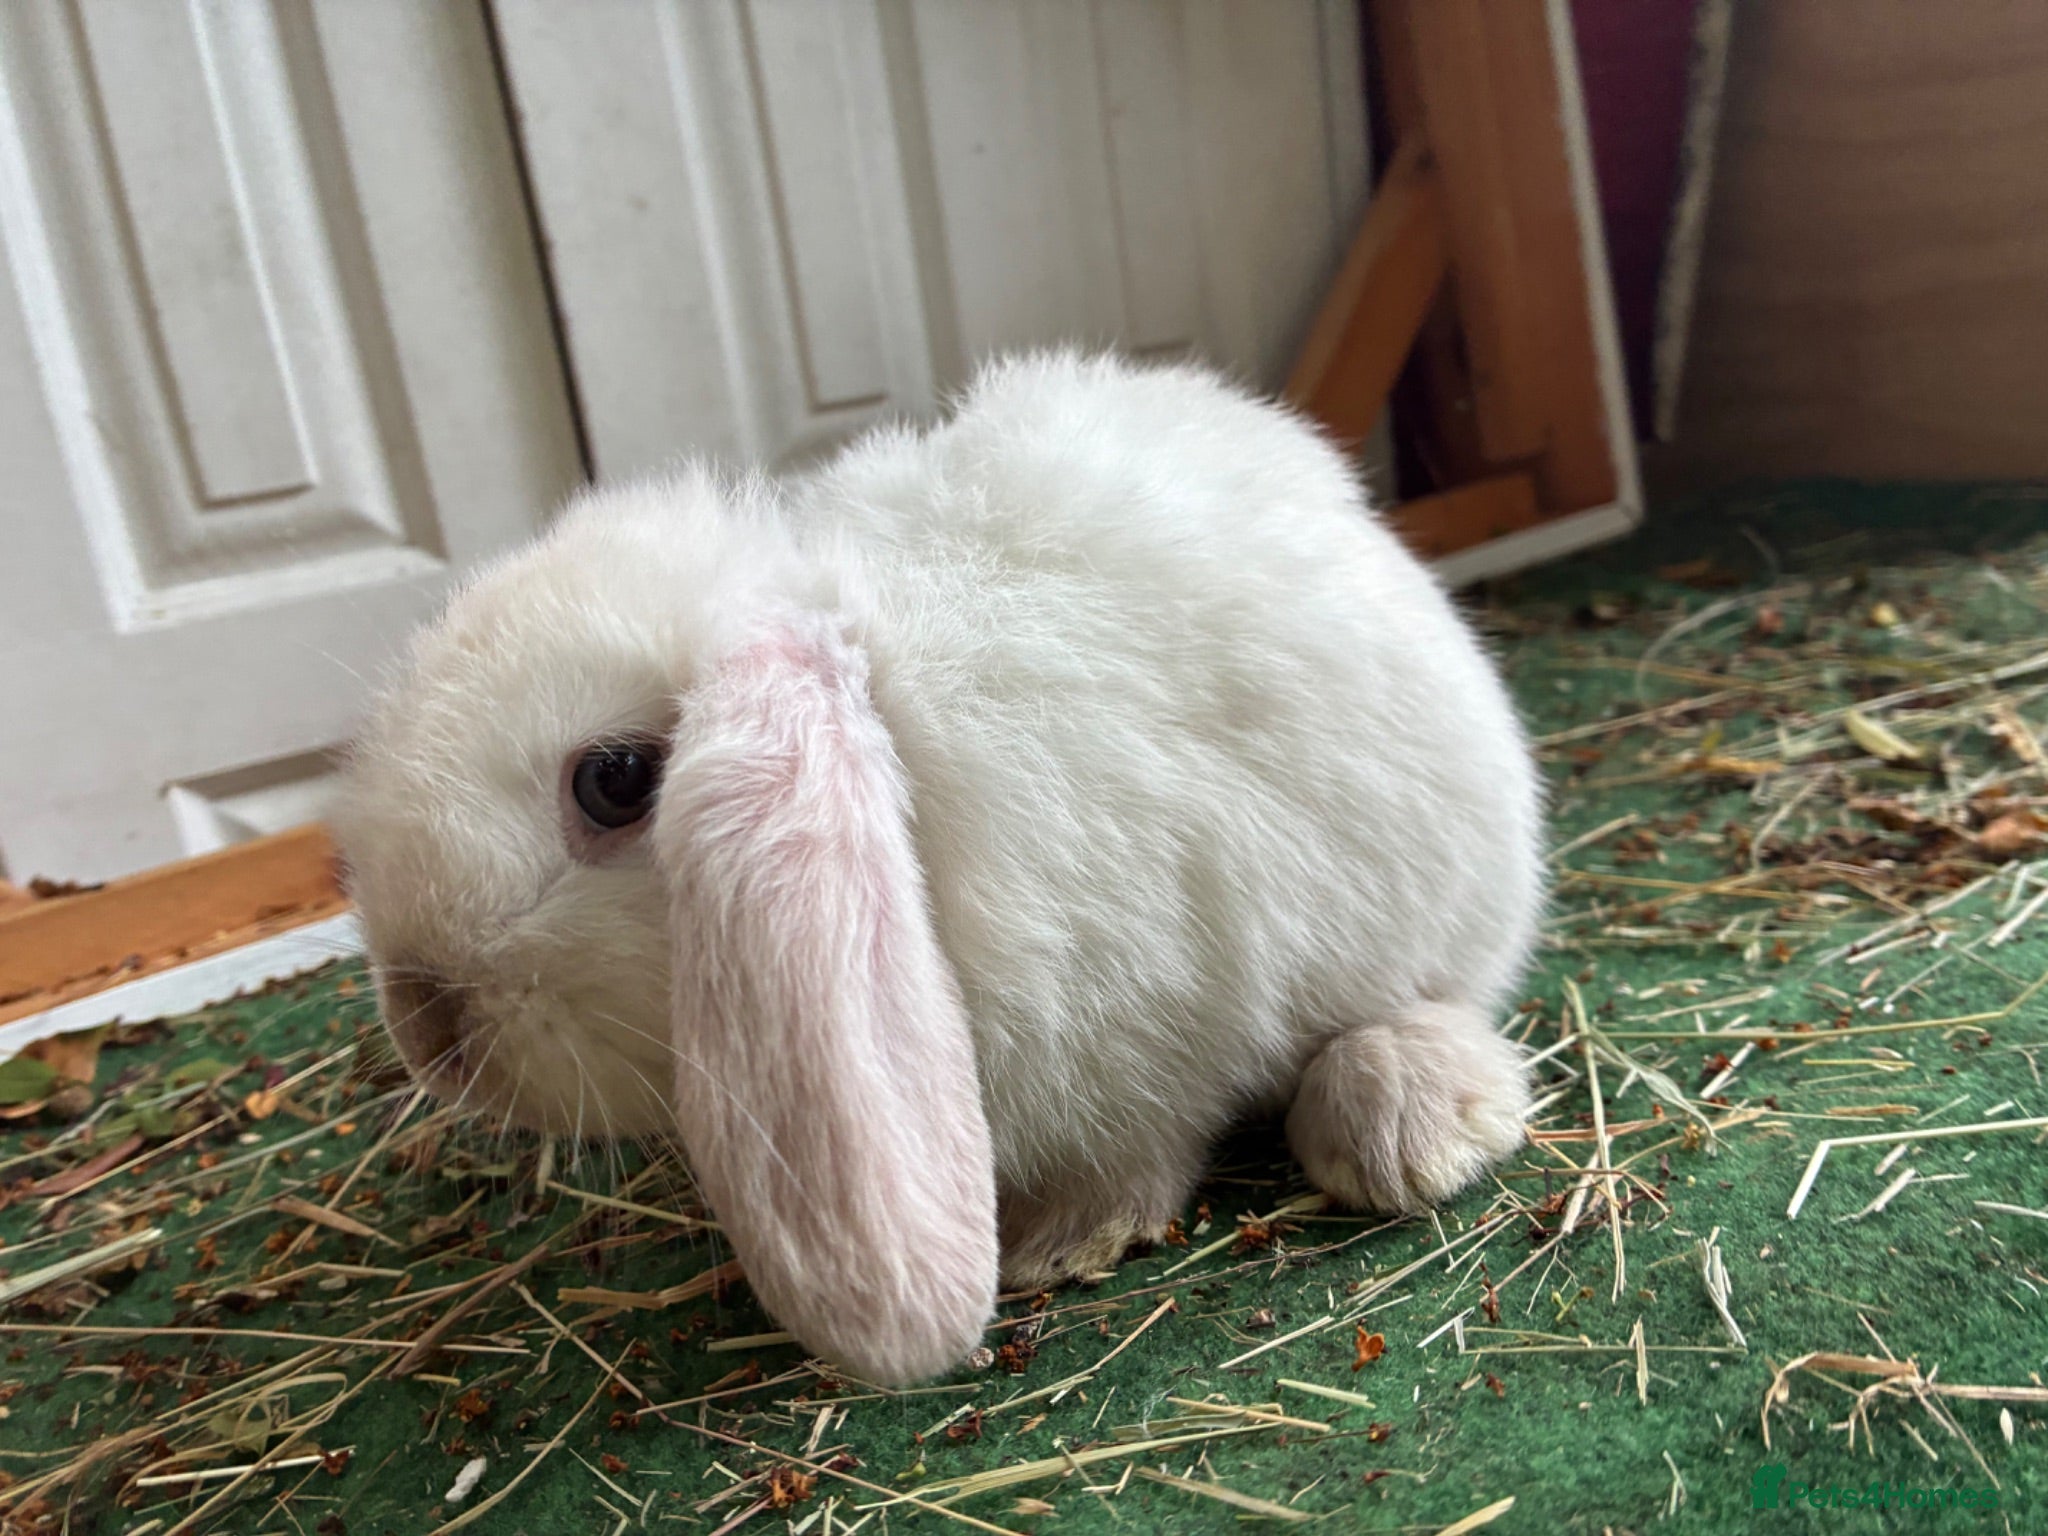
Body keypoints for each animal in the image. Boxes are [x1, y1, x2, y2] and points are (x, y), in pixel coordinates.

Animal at [333, 350, 1542, 1387]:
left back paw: (1402, 1124)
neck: (895, 724)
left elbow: (1136, 1143)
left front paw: (1060, 1244)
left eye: (616, 781)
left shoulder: (1135, 1020)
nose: (423, 1022)